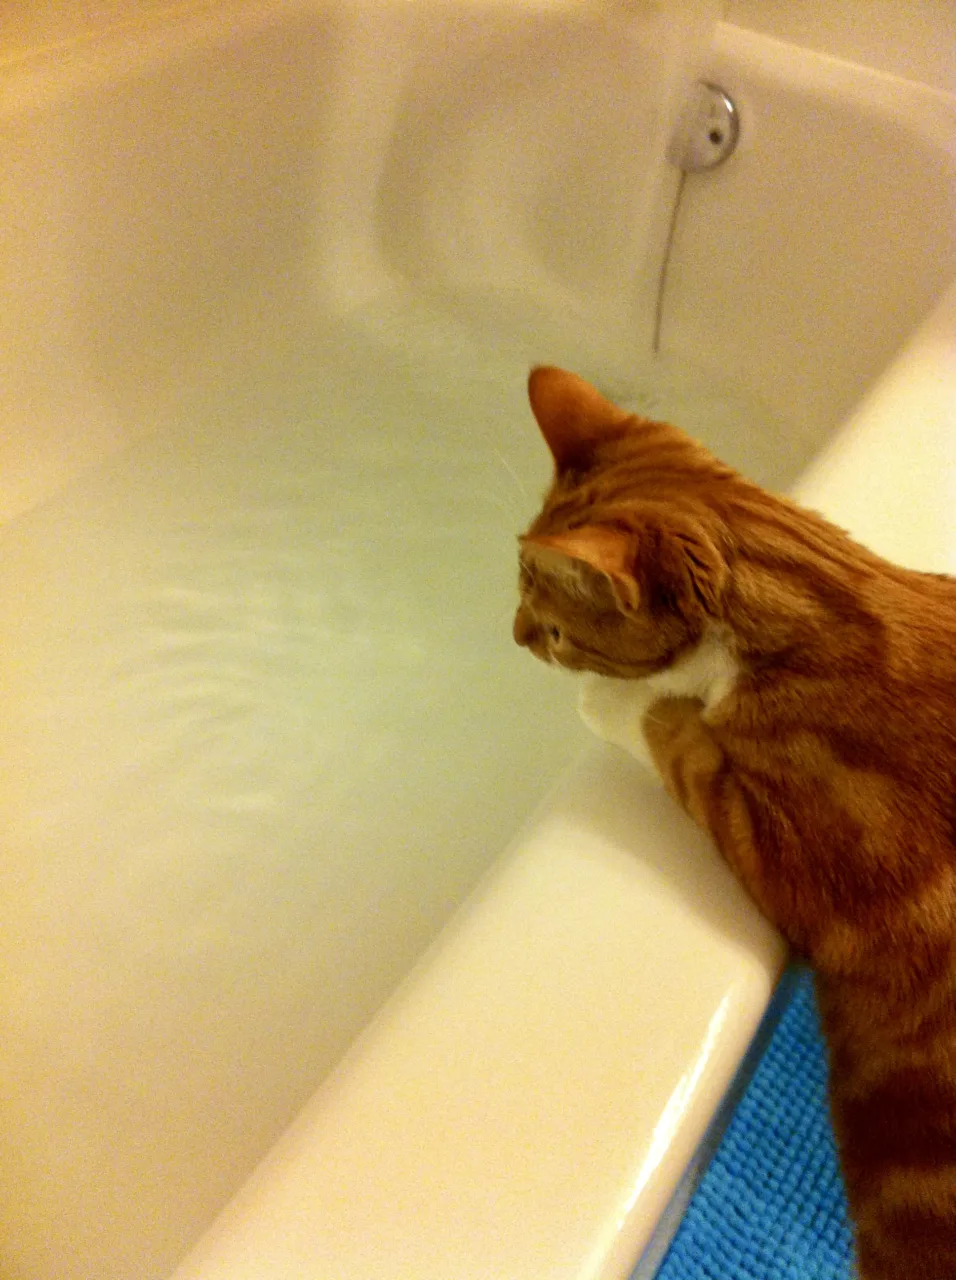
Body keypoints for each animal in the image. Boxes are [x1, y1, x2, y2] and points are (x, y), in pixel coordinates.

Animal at [517, 366, 956, 1274]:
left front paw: (614, 700)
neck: (834, 596)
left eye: (550, 629)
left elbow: (668, 733)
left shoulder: (799, 858)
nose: (510, 637)